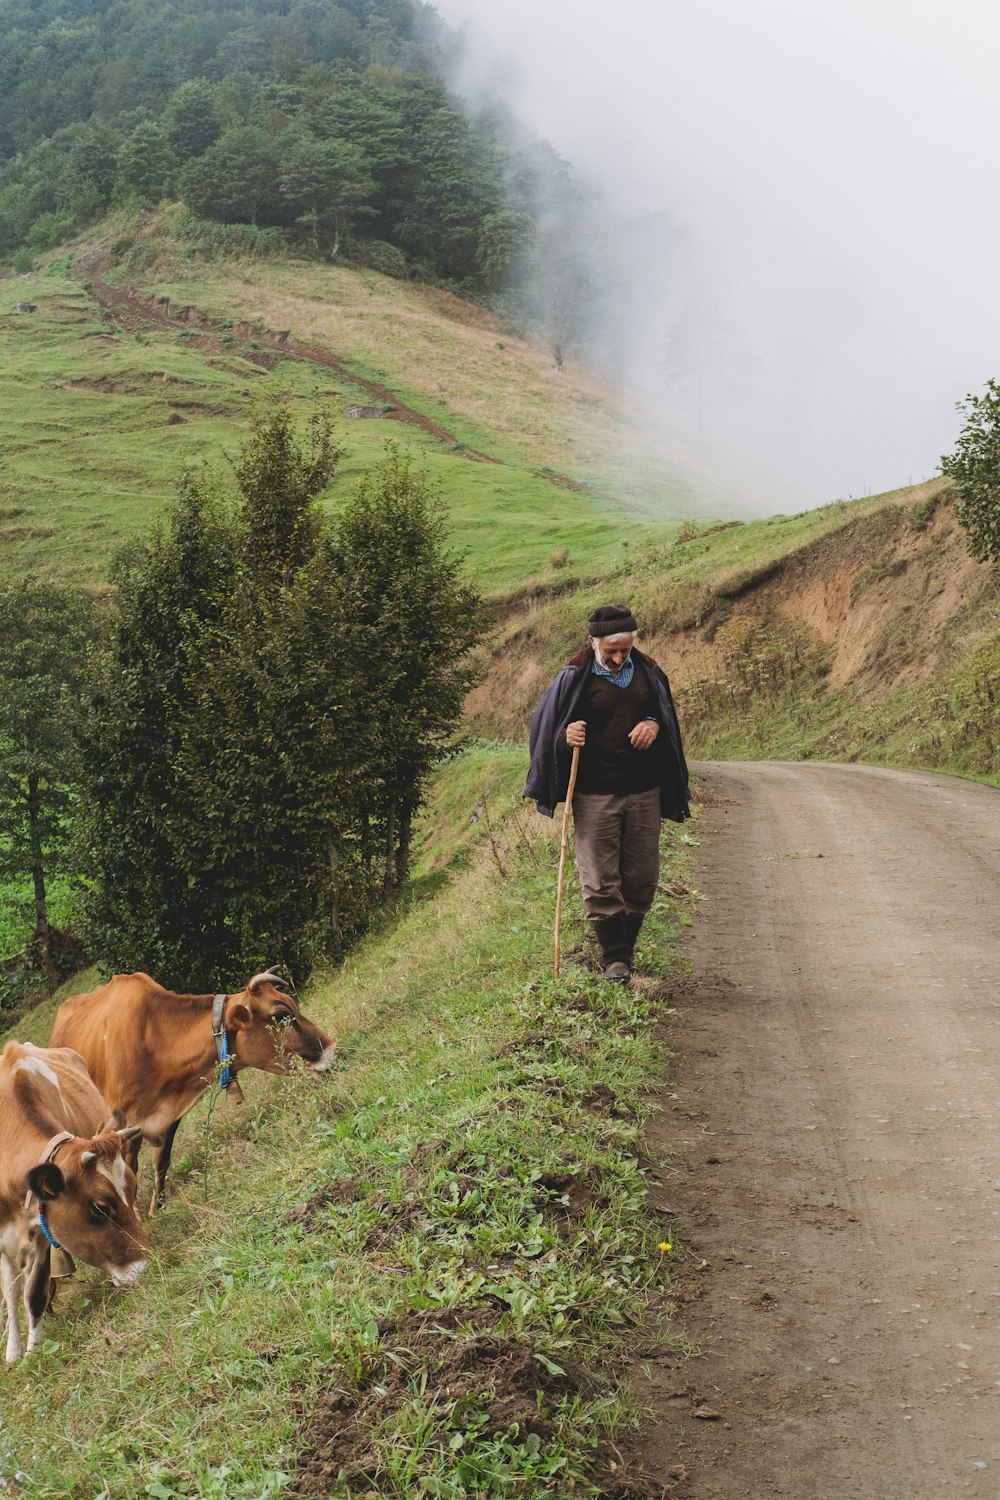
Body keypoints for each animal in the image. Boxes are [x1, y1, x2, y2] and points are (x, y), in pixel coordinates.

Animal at [0, 1044, 148, 1362]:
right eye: (100, 1207)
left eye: (133, 1189)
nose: (142, 1268)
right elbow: (10, 1295)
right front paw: (14, 1353)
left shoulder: (43, 1231)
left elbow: (34, 1293)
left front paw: (34, 1350)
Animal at [49, 966, 335, 1212]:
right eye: (281, 1014)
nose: (331, 1050)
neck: (154, 1041)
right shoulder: (118, 1124)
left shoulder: (169, 1115)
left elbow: (161, 1161)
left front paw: (157, 1208)